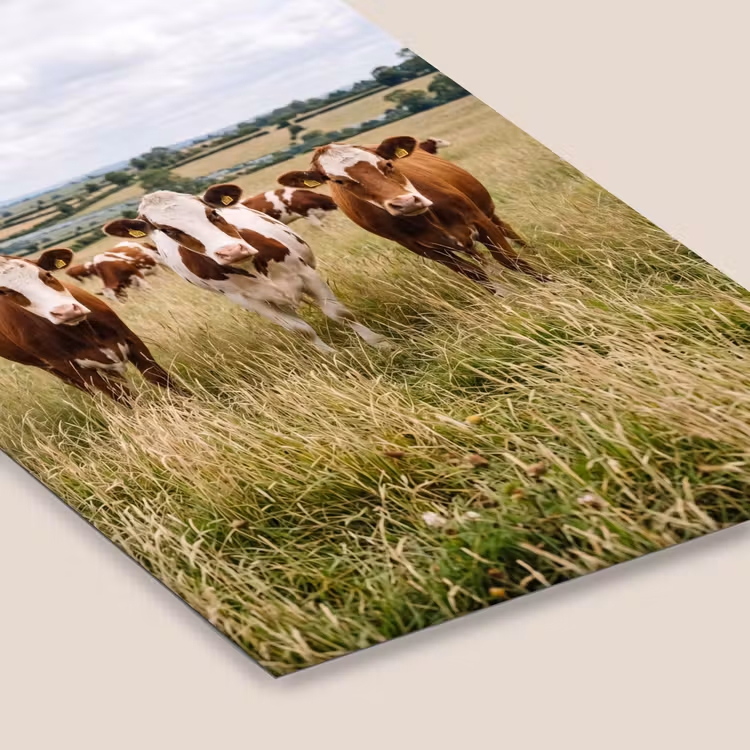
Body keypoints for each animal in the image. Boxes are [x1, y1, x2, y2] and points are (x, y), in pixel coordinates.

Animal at [0, 249, 178, 401]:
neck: (83, 331)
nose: (66, 311)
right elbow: (122, 396)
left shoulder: (131, 339)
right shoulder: (74, 369)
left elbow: (159, 377)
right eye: (7, 292)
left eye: (47, 274)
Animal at [101, 185, 386, 354]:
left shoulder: (305, 273)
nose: (232, 251)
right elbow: (302, 331)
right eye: (169, 231)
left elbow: (340, 313)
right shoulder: (250, 301)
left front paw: (381, 344)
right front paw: (333, 355)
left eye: (212, 213)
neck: (249, 265)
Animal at [277, 136, 548, 291]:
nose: (406, 203)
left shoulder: (479, 220)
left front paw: (548, 282)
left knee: (508, 231)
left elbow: (509, 259)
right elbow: (478, 276)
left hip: (489, 211)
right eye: (339, 181)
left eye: (386, 164)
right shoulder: (430, 251)